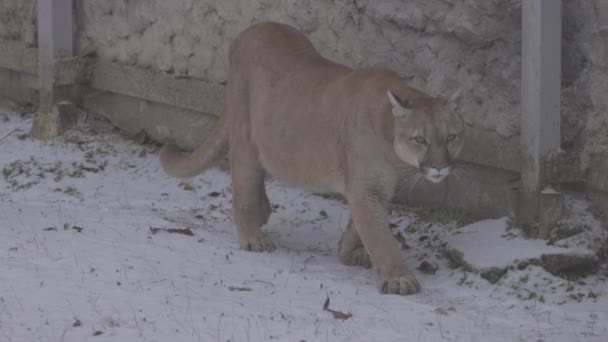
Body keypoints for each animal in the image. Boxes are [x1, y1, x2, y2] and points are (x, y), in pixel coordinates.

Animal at [159, 21, 464, 296]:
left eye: (451, 137)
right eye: (420, 139)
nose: (440, 167)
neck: (392, 147)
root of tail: (251, 30)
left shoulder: (378, 188)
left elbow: (360, 226)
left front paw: (348, 252)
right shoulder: (366, 188)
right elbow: (379, 235)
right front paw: (398, 278)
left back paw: (262, 211)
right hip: (244, 135)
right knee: (242, 187)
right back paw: (253, 235)